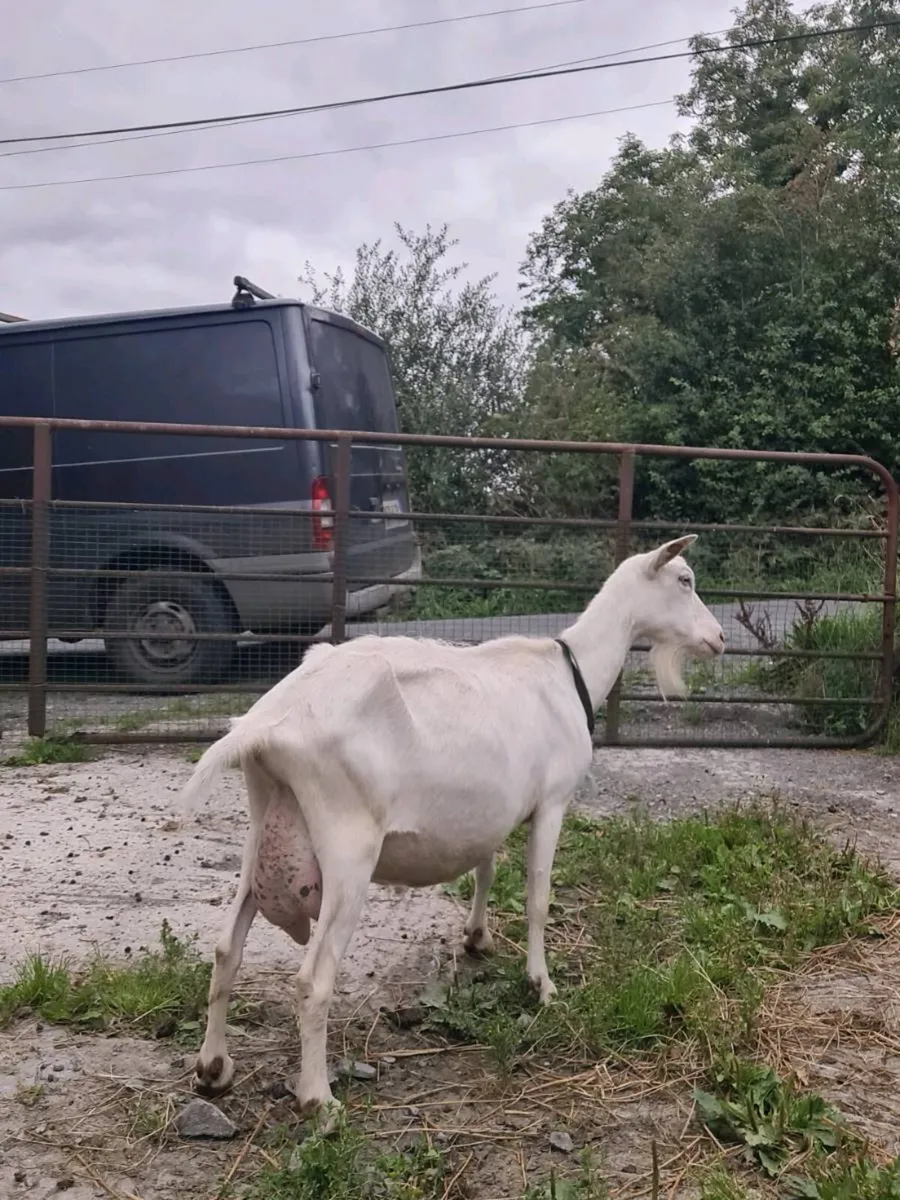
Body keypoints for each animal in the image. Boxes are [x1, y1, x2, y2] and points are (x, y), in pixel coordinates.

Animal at [178, 534, 725, 1126]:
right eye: (685, 580)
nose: (719, 638)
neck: (570, 673)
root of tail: (265, 724)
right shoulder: (553, 801)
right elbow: (537, 897)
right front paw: (542, 984)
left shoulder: (491, 811)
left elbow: (485, 868)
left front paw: (477, 937)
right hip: (347, 847)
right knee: (312, 979)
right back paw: (318, 1098)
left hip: (263, 827)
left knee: (225, 948)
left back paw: (213, 1068)